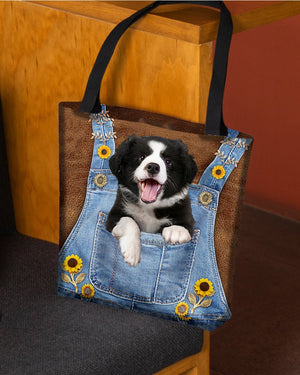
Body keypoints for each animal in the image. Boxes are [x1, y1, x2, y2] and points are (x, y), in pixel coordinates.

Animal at [106, 135, 198, 268]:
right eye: (141, 157)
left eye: (168, 162)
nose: (153, 167)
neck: (149, 208)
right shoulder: (115, 213)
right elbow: (129, 221)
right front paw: (132, 252)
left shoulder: (185, 213)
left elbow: (185, 225)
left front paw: (176, 231)